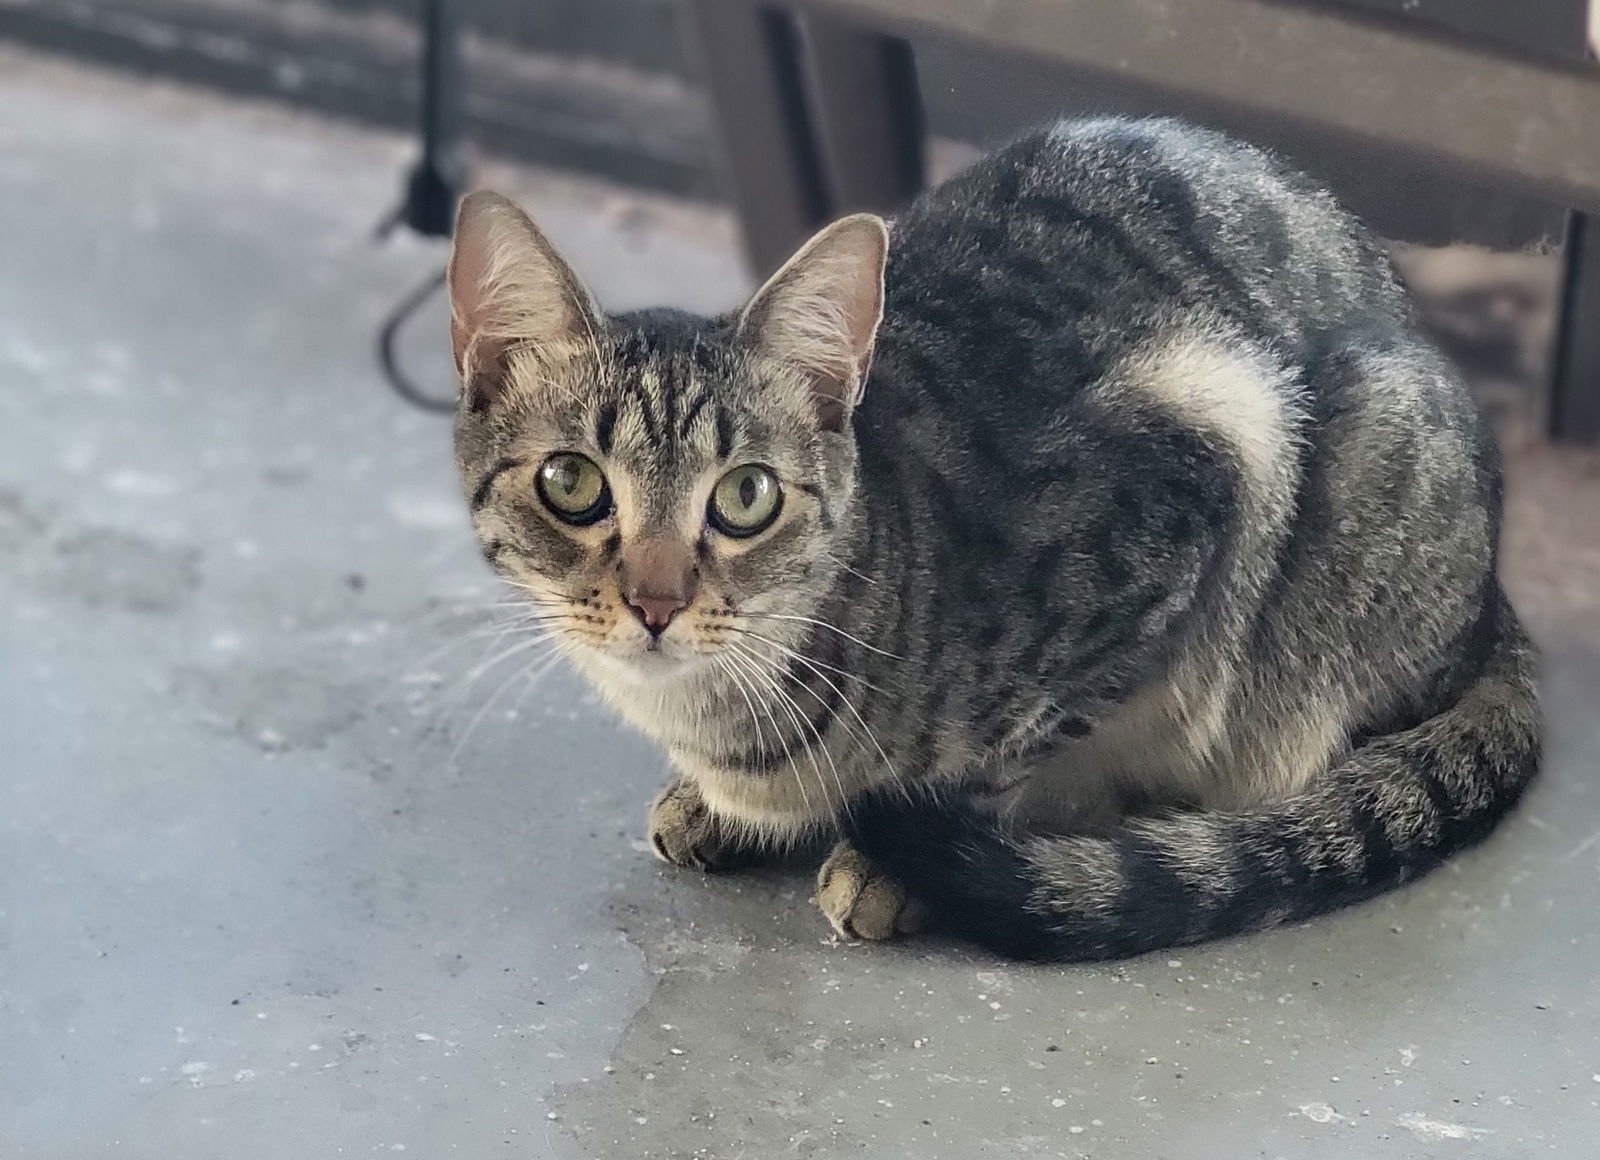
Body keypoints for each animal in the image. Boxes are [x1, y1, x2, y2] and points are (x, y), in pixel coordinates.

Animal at [448, 117, 1536, 960]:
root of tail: (1495, 602)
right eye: (572, 484)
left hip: (1366, 445)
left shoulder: (1189, 484)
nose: (656, 603)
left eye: (745, 496)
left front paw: (897, 858)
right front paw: (718, 808)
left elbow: (1009, 753)